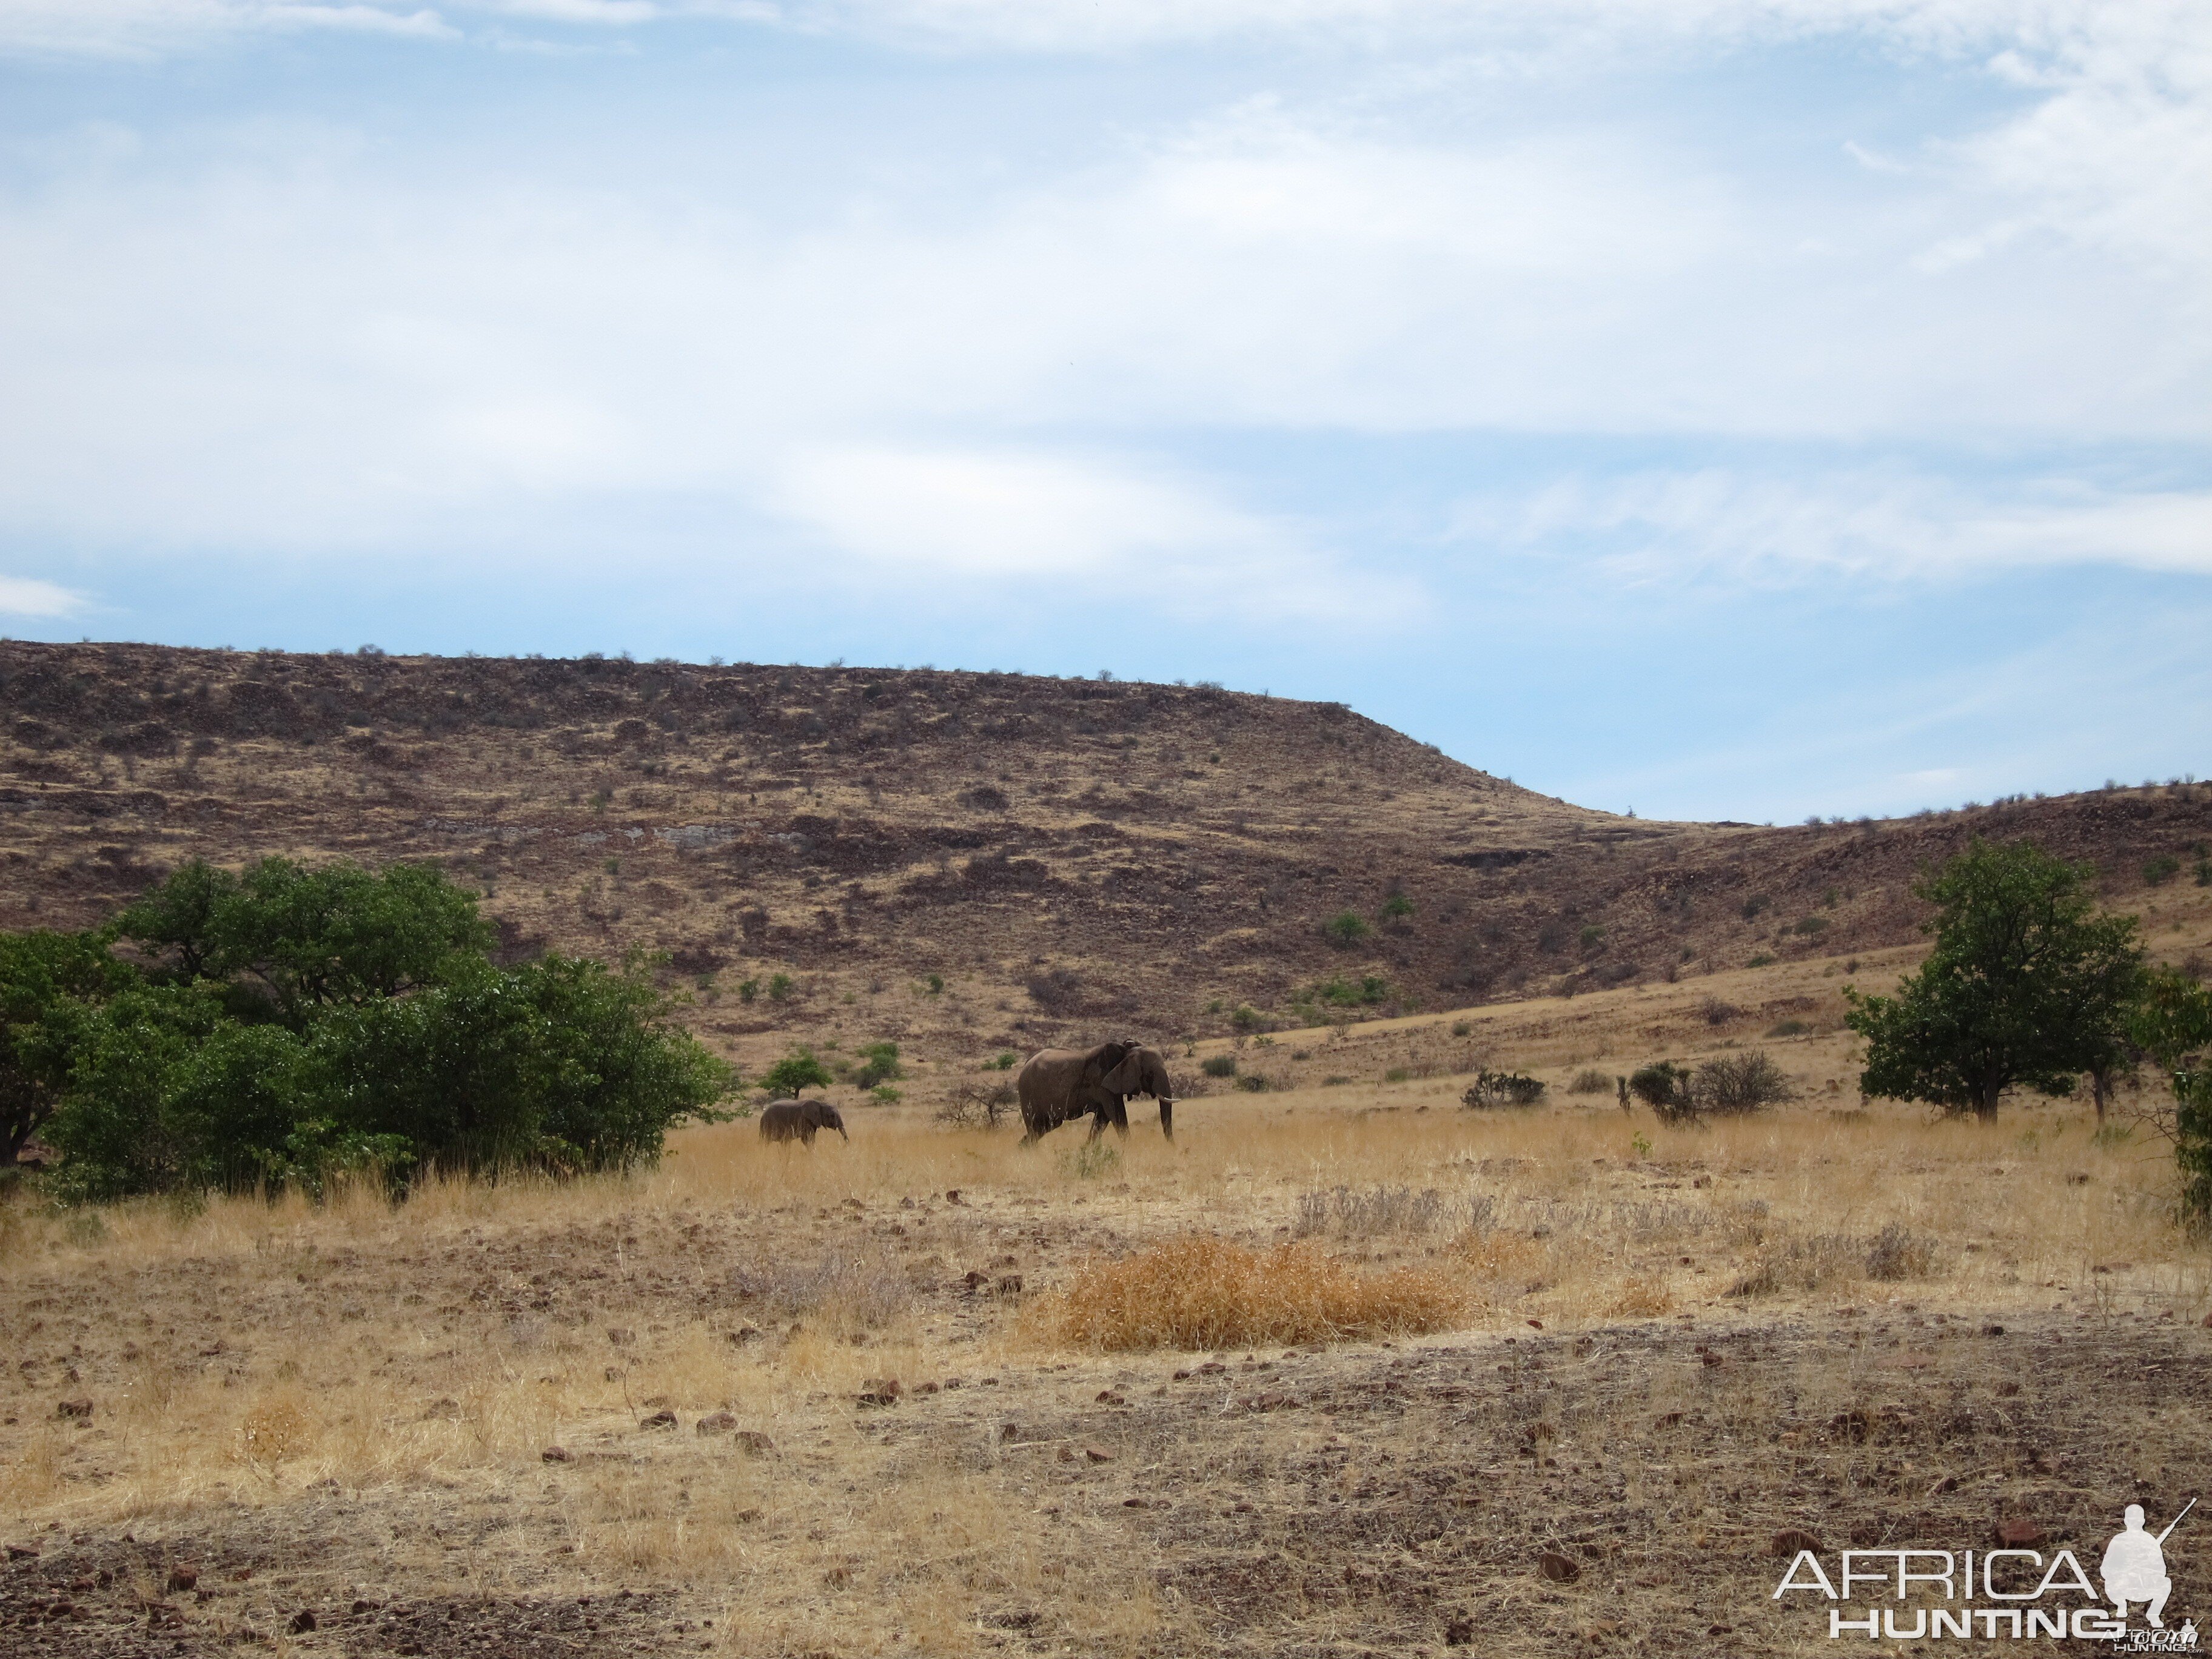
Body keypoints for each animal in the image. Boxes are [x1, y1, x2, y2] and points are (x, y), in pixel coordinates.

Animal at [1013, 1044, 1176, 1150]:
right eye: (1150, 1074)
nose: (1171, 1147)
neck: (1125, 1052)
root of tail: (1026, 1064)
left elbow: (1103, 1118)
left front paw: (1087, 1149)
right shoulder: (1102, 1083)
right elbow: (1117, 1113)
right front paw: (1130, 1147)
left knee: (1047, 1126)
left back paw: (1022, 1146)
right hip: (1027, 1093)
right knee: (1035, 1125)